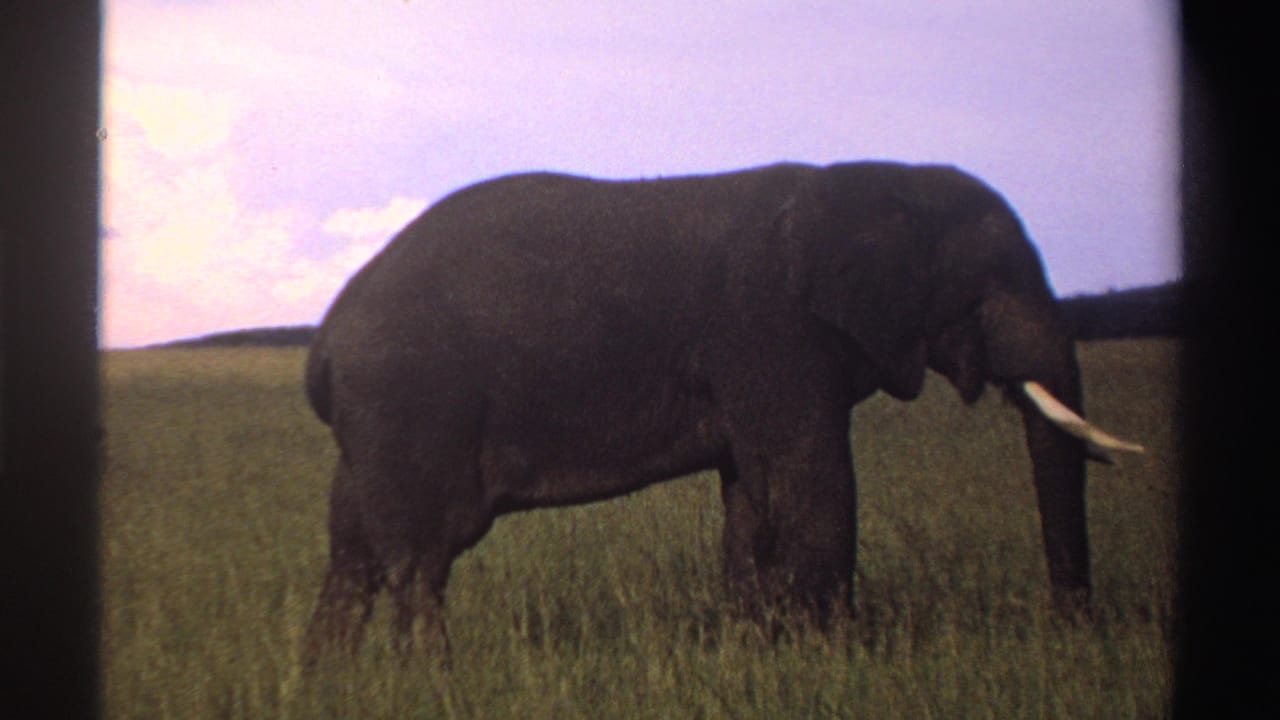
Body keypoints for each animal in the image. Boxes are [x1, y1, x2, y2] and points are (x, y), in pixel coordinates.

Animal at [300, 160, 1141, 665]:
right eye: (994, 279)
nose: (1072, 635)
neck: (874, 179)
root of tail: (325, 342)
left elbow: (753, 499)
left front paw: (757, 654)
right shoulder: (772, 328)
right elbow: (815, 484)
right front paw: (836, 664)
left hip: (371, 431)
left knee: (352, 560)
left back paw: (333, 681)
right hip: (407, 406)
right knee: (420, 562)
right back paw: (430, 681)